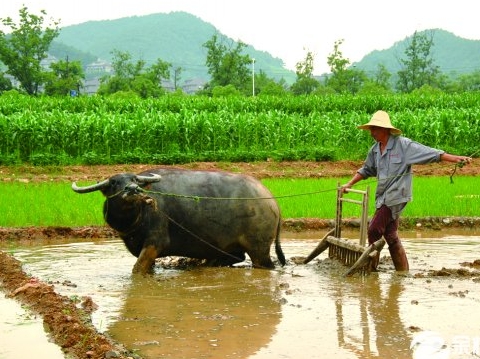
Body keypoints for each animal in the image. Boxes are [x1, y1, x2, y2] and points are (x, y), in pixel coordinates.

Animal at [71, 169, 284, 276]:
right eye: (114, 182)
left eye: (135, 180)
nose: (132, 190)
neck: (139, 215)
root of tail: (272, 201)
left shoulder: (155, 242)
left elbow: (137, 269)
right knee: (235, 257)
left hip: (259, 248)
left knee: (263, 263)